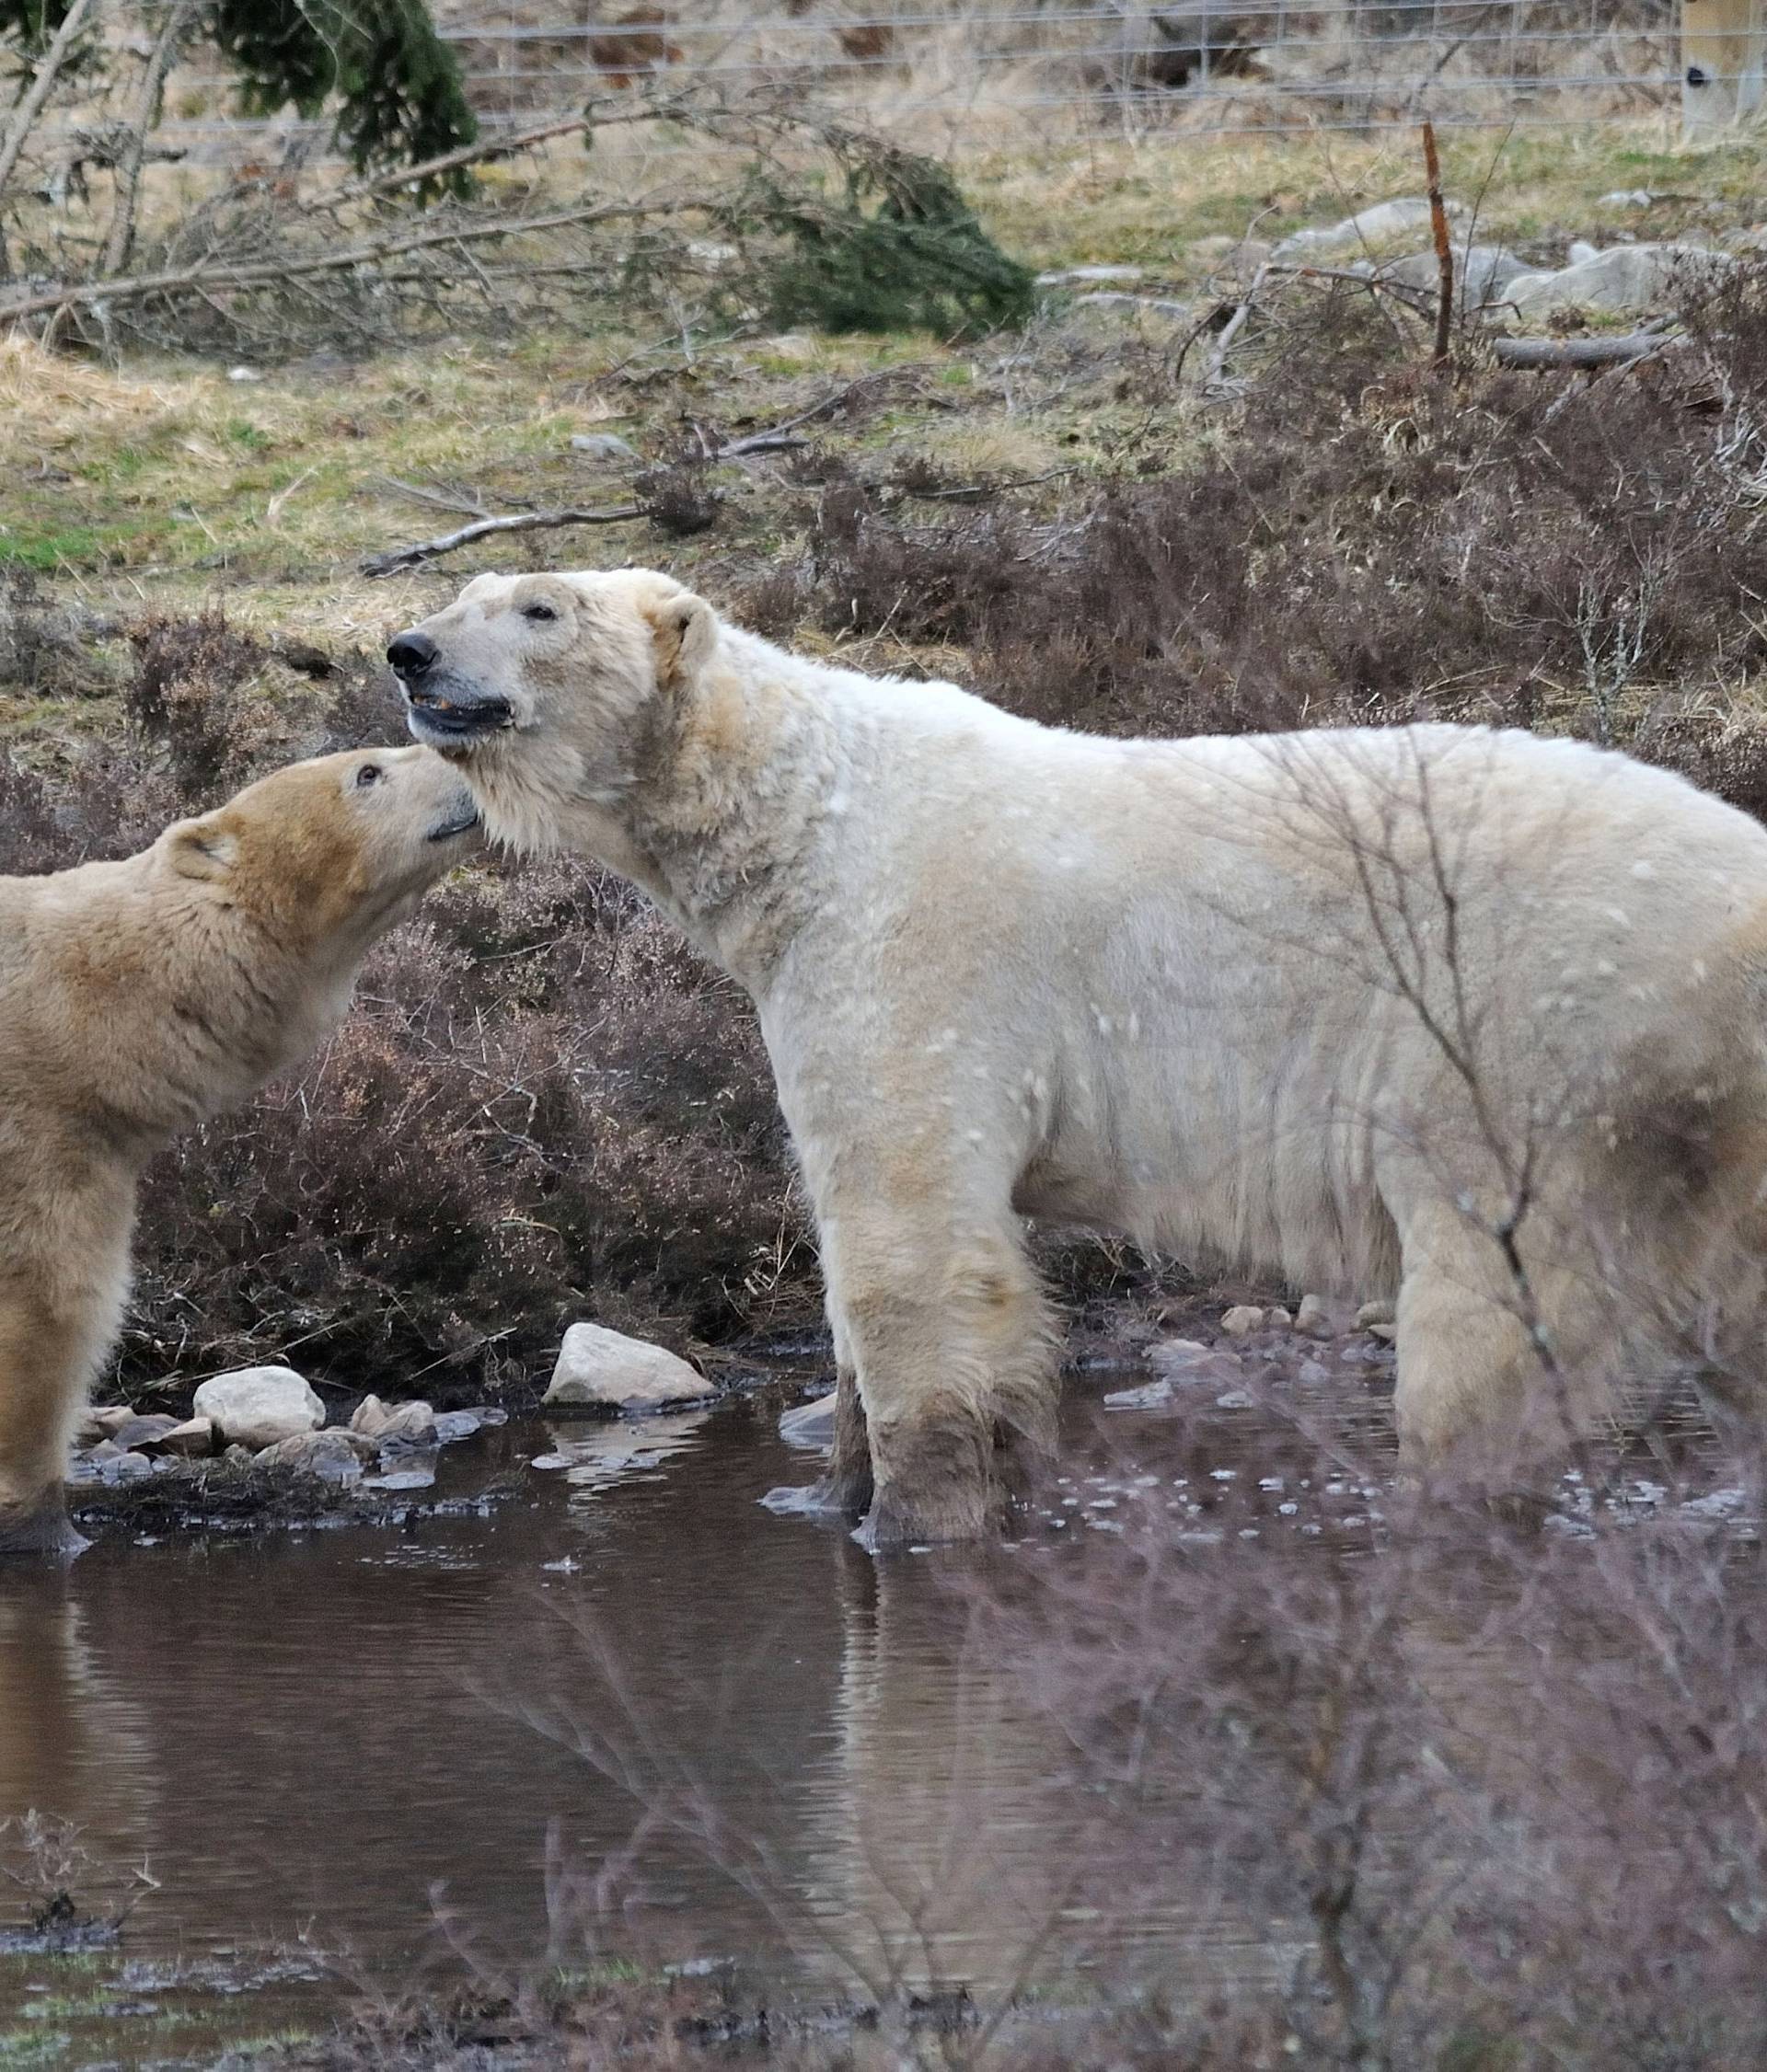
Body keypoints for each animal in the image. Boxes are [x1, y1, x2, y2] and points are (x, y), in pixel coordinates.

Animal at [389, 576, 1767, 1549]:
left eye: (540, 606)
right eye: (463, 592)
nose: (409, 652)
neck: (806, 809)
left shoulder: (911, 951)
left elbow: (914, 1241)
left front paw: (916, 1520)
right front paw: (842, 1494)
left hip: (1536, 1038)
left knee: (1494, 1314)